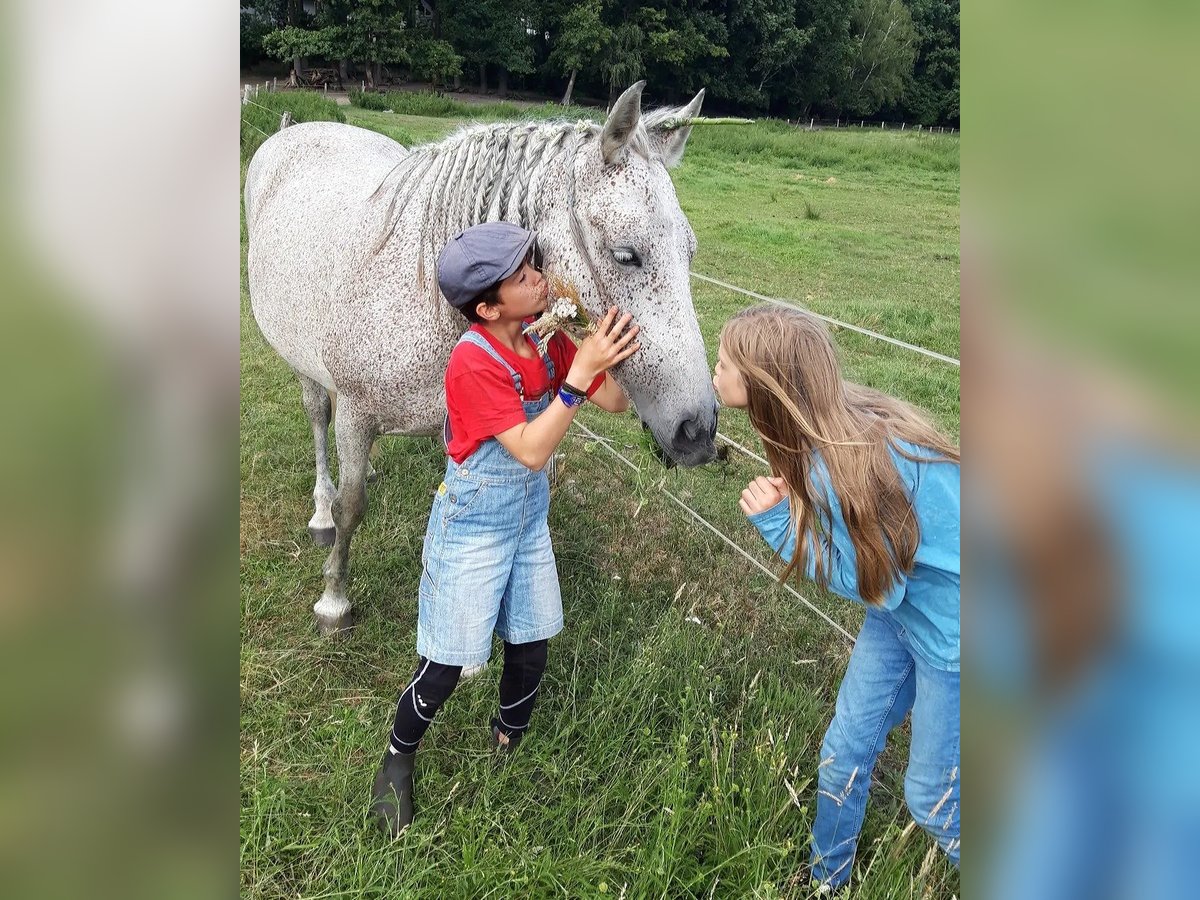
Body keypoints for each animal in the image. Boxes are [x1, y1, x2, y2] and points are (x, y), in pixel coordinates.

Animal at [241, 82, 710, 633]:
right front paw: (334, 598)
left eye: (691, 252)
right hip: (302, 363)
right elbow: (350, 507)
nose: (697, 430)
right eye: (626, 255)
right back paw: (319, 511)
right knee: (318, 417)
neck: (427, 290)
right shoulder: (356, 415)